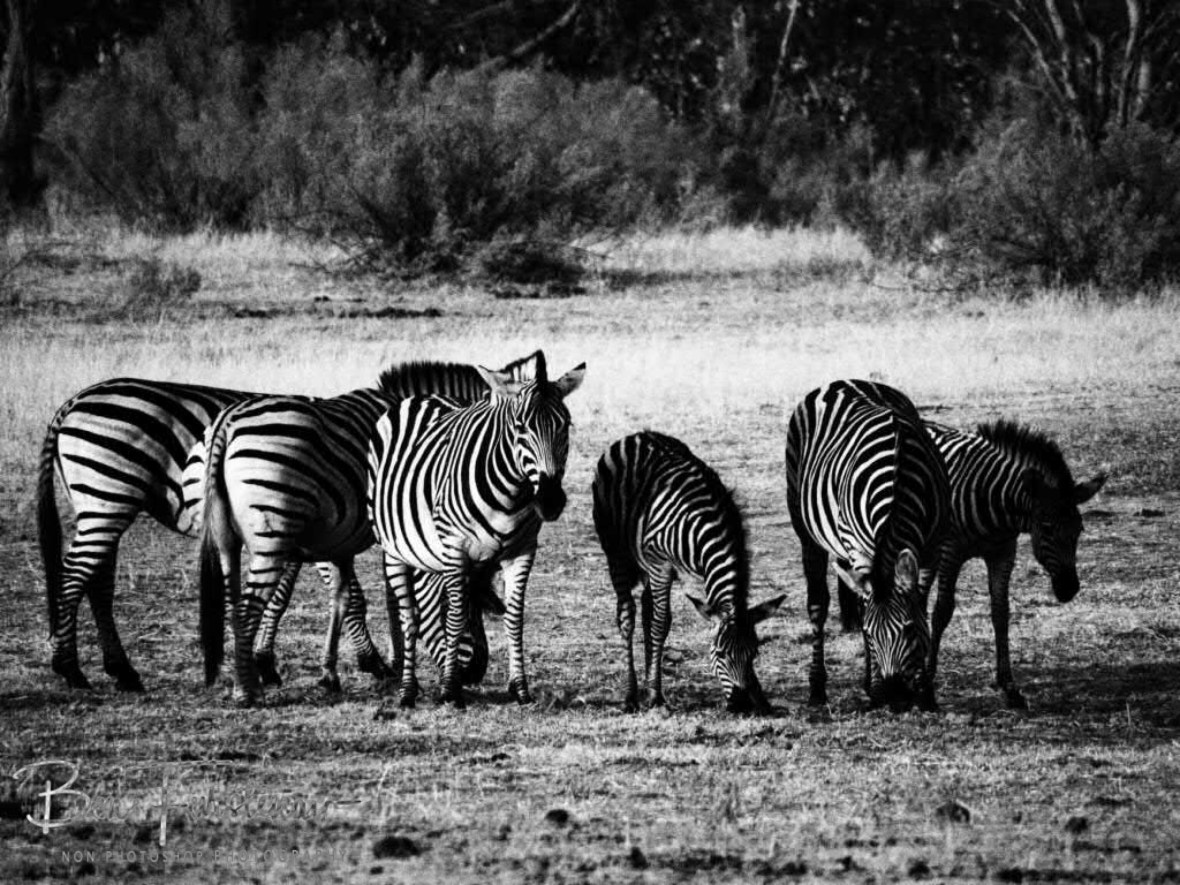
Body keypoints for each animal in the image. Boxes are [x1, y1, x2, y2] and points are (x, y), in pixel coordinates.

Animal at [197, 357, 538, 705]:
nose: (475, 673)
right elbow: (391, 599)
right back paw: (246, 690)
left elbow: (356, 597)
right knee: (247, 606)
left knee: (233, 600)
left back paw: (245, 678)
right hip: (275, 525)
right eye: (469, 602)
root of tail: (228, 420)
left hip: (230, 537)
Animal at [367, 353, 586, 709]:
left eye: (565, 425)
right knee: (409, 614)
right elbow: (454, 616)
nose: (551, 500)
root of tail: (423, 397)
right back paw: (408, 691)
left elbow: (514, 617)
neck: (511, 493)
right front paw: (449, 690)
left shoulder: (522, 551)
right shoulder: (455, 548)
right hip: (394, 548)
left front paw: (520, 689)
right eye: (520, 427)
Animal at [591, 431, 785, 714]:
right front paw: (656, 697)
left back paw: (648, 683)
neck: (705, 524)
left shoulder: (664, 568)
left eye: (754, 654)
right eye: (720, 654)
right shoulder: (661, 563)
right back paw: (632, 695)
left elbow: (658, 622)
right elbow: (661, 624)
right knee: (627, 613)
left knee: (647, 609)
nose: (741, 706)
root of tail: (637, 434)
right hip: (616, 551)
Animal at [785, 379, 950, 712]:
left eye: (909, 629)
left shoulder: (932, 549)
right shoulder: (859, 546)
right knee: (818, 604)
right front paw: (874, 686)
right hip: (806, 531)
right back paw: (818, 688)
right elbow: (864, 609)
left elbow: (921, 603)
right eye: (870, 635)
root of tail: (842, 380)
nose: (894, 697)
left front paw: (925, 691)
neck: (899, 475)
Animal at [922, 419, 1106, 708]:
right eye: (1046, 528)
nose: (1069, 589)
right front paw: (928, 686)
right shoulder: (950, 552)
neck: (992, 498)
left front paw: (1009, 687)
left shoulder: (1003, 554)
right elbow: (942, 611)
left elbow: (1001, 613)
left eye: (1080, 530)